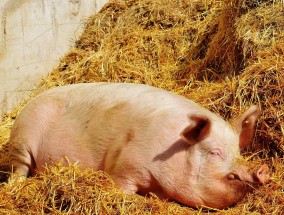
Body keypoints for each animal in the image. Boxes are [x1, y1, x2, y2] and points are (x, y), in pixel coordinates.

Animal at [8, 82, 270, 208]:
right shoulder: (124, 166)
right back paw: (16, 184)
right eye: (215, 152)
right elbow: (122, 188)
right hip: (22, 138)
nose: (262, 170)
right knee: (19, 169)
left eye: (238, 152)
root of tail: (30, 102)